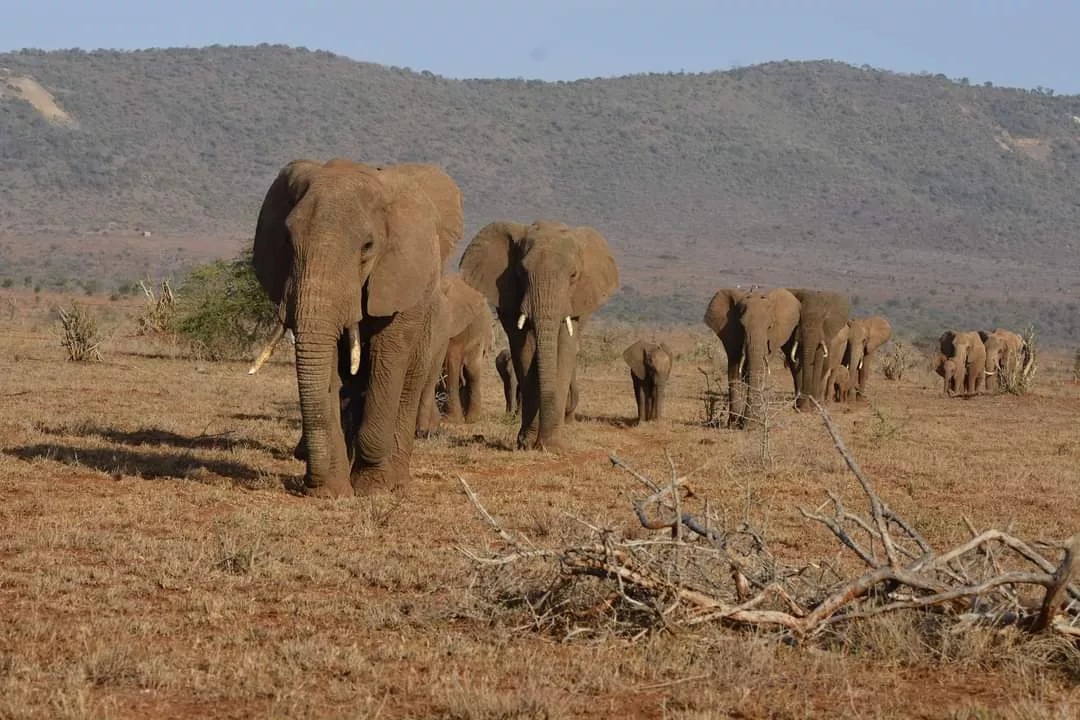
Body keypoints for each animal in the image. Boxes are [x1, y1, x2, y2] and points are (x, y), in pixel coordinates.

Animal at [252, 156, 464, 496]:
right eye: (287, 240)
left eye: (367, 246)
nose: (309, 484)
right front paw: (332, 491)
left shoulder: (397, 278)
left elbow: (387, 357)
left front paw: (371, 487)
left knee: (409, 384)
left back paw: (397, 482)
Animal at [457, 220, 626, 451]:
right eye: (521, 273)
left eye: (573, 275)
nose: (542, 444)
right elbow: (524, 350)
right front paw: (528, 443)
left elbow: (564, 349)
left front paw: (552, 446)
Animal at [699, 287, 803, 427]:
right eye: (742, 326)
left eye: (770, 326)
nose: (747, 424)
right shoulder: (730, 334)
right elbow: (735, 370)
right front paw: (735, 423)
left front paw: (751, 423)